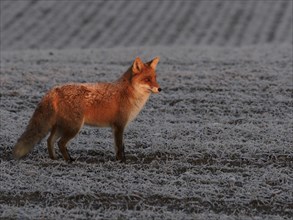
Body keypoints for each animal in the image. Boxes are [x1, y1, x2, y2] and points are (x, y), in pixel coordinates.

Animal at [13, 57, 160, 162]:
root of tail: (54, 90)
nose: (160, 89)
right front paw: (121, 162)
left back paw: (54, 159)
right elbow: (119, 147)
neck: (128, 94)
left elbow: (119, 147)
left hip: (61, 126)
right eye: (147, 79)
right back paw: (69, 160)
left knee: (50, 140)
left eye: (155, 78)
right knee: (60, 143)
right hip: (74, 127)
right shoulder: (119, 125)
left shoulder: (116, 127)